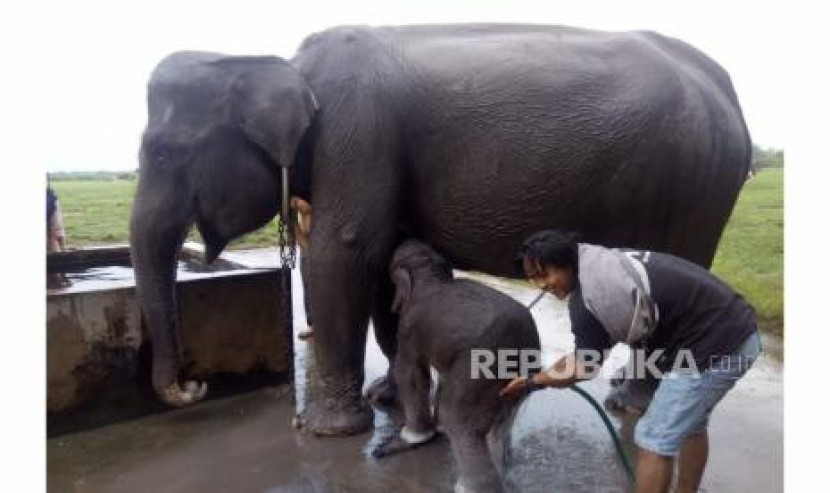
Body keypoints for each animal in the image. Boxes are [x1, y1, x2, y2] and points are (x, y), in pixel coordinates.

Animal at [130, 26, 752, 434]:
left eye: (161, 152)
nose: (194, 387)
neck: (280, 63)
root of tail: (727, 89)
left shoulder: (357, 132)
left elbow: (343, 253)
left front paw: (329, 430)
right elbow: (385, 262)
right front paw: (386, 399)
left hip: (699, 186)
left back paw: (633, 406)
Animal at [376, 239, 540, 492]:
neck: (431, 274)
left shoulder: (410, 329)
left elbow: (410, 373)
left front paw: (408, 438)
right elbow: (442, 376)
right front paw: (439, 429)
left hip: (481, 369)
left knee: (458, 416)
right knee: (500, 427)